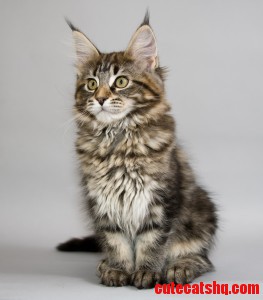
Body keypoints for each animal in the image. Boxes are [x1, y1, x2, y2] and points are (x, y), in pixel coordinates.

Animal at [57, 12, 219, 290]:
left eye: (121, 82)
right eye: (91, 84)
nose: (100, 99)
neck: (117, 140)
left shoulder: (159, 200)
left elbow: (152, 242)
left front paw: (145, 272)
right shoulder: (102, 201)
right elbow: (115, 241)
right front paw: (118, 270)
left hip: (203, 209)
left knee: (202, 259)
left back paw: (179, 267)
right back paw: (104, 265)